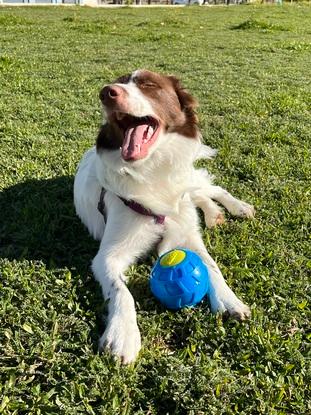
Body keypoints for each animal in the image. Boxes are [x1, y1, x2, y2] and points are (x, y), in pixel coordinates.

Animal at [73, 70, 256, 366]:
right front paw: (122, 335)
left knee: (212, 188)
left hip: (192, 180)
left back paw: (237, 207)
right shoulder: (107, 256)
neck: (151, 171)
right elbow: (121, 291)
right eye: (118, 83)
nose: (106, 92)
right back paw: (215, 215)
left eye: (148, 84)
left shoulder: (188, 234)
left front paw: (229, 300)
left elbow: (211, 265)